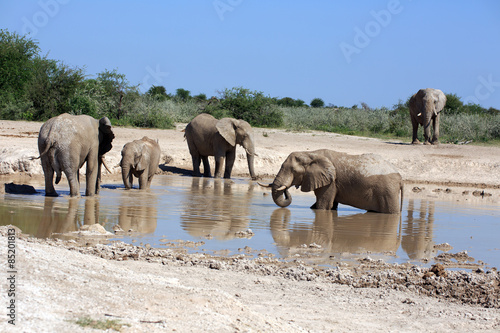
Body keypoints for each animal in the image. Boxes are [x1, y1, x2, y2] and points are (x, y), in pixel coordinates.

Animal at [258, 148, 402, 213]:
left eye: (294, 171)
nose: (287, 188)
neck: (311, 153)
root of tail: (400, 177)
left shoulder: (331, 182)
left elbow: (324, 205)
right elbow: (329, 206)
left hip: (387, 191)